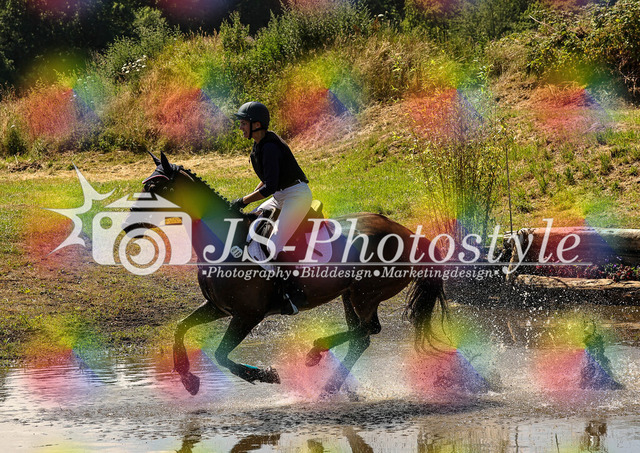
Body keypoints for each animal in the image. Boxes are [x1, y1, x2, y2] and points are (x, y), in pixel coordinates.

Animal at [140, 152, 447, 396]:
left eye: (155, 186)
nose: (133, 216)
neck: (226, 239)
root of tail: (406, 233)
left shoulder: (248, 314)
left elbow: (220, 354)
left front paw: (264, 375)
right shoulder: (219, 307)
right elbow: (181, 327)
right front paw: (187, 378)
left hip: (366, 294)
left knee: (368, 329)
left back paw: (316, 353)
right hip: (350, 294)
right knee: (362, 337)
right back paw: (329, 388)